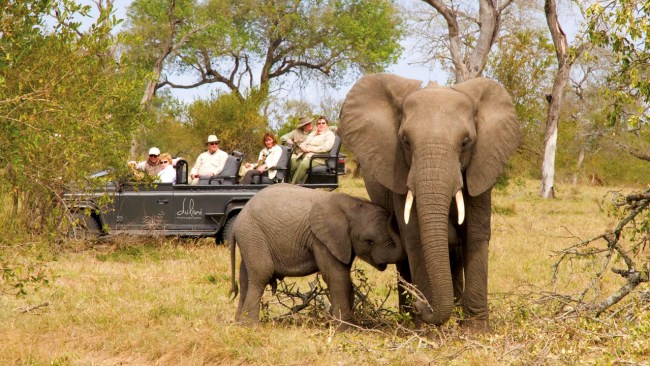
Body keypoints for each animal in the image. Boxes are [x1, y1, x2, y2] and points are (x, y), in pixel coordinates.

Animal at [227, 183, 400, 328]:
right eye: (369, 241)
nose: (394, 214)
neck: (351, 206)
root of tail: (237, 223)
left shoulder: (342, 242)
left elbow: (345, 276)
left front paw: (350, 325)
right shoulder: (321, 240)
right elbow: (336, 276)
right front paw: (345, 329)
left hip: (249, 239)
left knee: (245, 279)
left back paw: (238, 324)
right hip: (253, 235)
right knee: (261, 274)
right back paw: (251, 327)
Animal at [340, 73, 520, 328]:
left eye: (465, 142)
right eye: (405, 141)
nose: (422, 305)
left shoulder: (482, 164)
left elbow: (475, 233)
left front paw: (476, 329)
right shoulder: (399, 171)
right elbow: (414, 236)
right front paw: (427, 328)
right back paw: (408, 316)